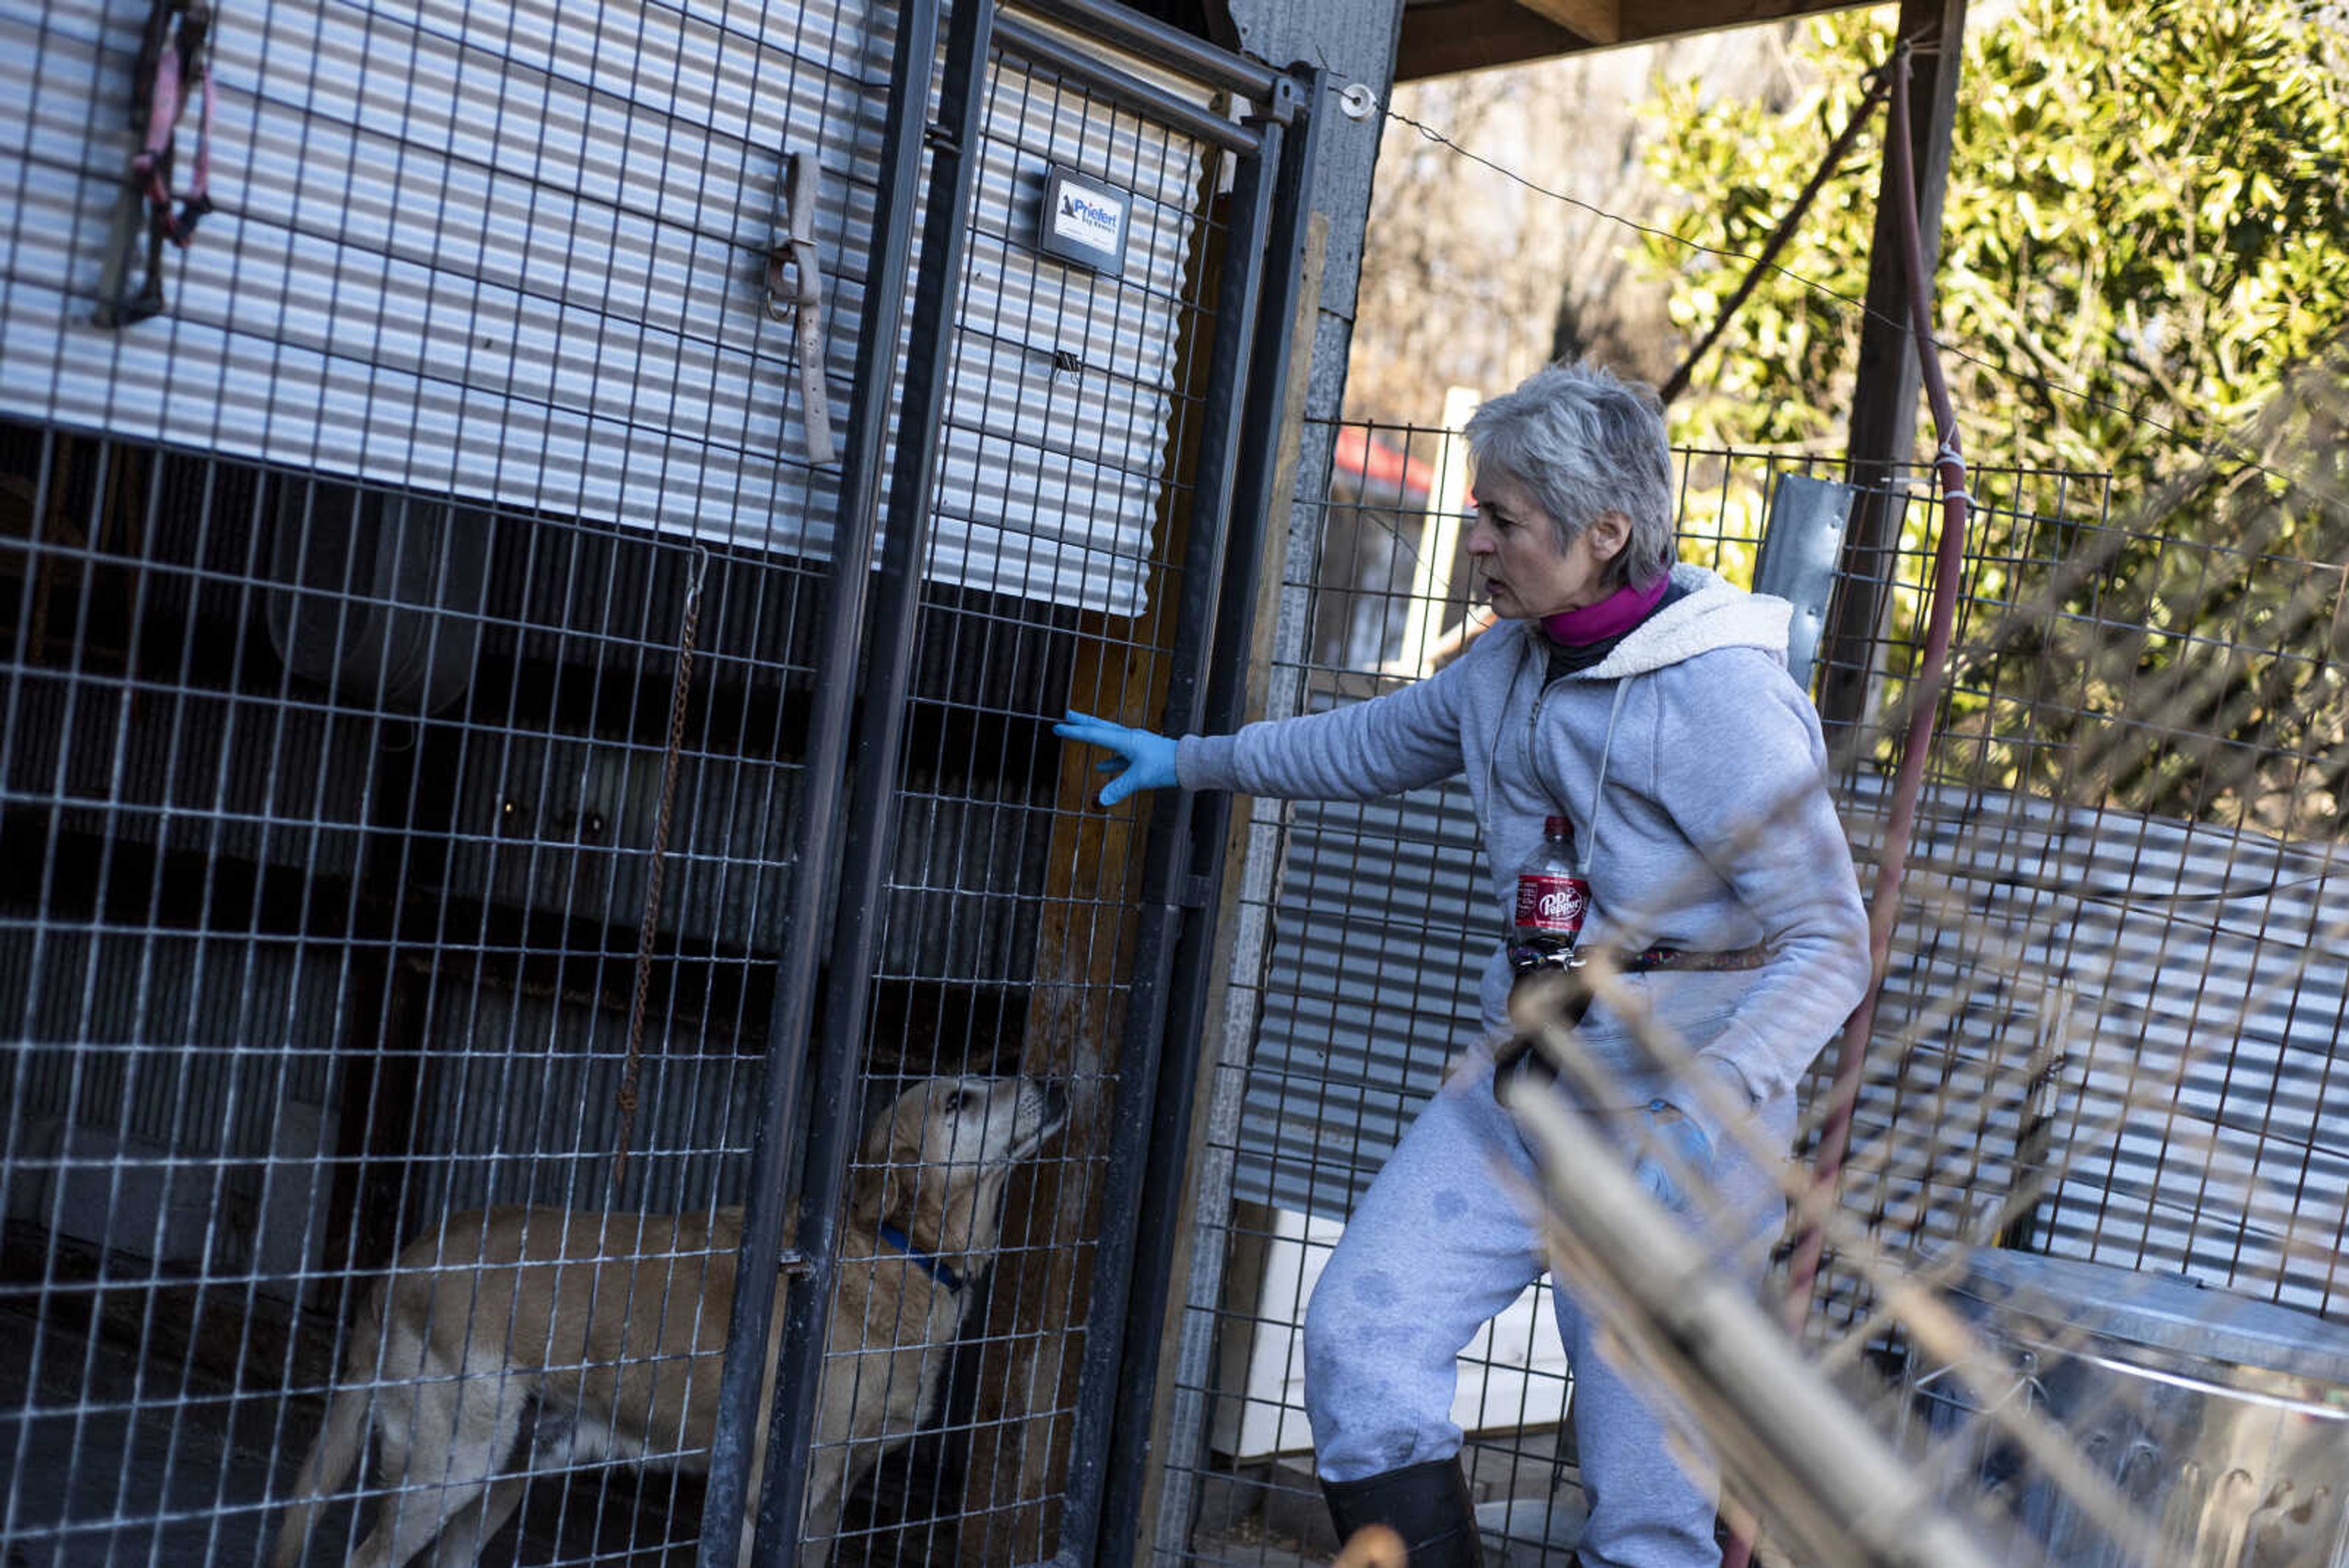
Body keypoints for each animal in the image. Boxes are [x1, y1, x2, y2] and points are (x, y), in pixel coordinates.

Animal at [275, 1081, 1075, 1568]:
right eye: (960, 1099)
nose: (1053, 1080)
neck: (893, 1249)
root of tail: (409, 1254)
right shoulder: (765, 1495)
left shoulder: (830, 1501)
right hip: (455, 1461)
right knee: (367, 1555)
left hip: (508, 1468)